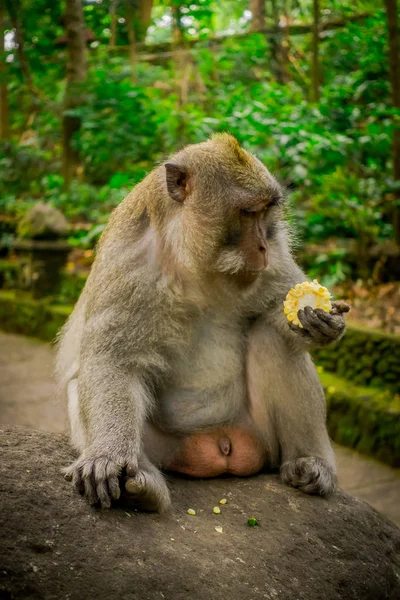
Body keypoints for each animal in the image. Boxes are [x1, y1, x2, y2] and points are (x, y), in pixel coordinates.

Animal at [54, 134, 348, 508]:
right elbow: (113, 361)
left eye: (266, 212)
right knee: (81, 382)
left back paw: (311, 463)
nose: (263, 246)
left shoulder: (278, 252)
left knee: (272, 340)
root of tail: (222, 444)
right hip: (170, 449)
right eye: (247, 212)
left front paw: (323, 326)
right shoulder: (127, 259)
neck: (193, 262)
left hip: (261, 437)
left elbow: (276, 310)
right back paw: (142, 489)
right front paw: (107, 457)